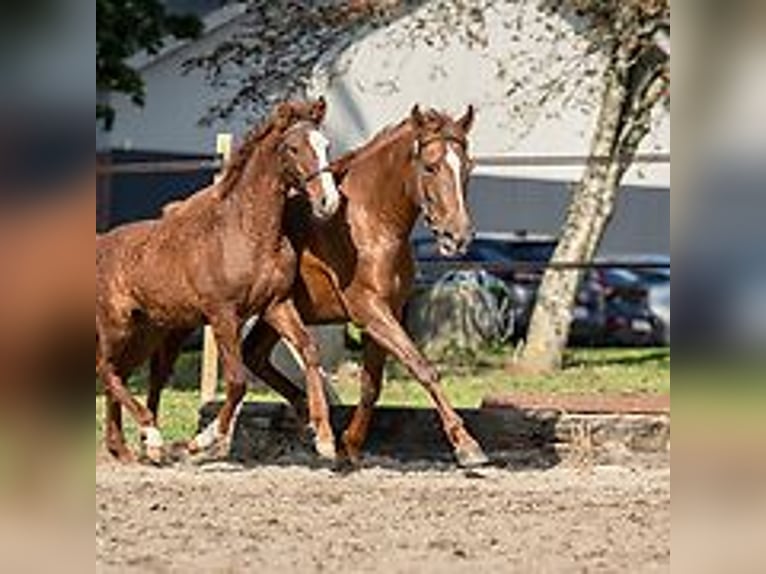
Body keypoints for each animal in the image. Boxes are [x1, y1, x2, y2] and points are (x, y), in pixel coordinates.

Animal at [94, 99, 340, 466]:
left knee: (122, 373)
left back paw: (126, 448)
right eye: (294, 148)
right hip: (117, 326)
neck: (246, 233)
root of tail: (99, 246)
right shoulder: (223, 314)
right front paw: (204, 440)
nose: (329, 202)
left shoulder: (276, 305)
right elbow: (237, 382)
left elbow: (309, 350)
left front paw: (324, 439)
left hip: (149, 333)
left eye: (326, 146)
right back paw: (152, 436)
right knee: (105, 369)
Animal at [135, 106, 488, 470]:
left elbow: (371, 385)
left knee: (254, 356)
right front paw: (466, 444)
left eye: (468, 167)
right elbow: (422, 368)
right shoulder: (370, 310)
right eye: (430, 167)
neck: (371, 222)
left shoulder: (386, 313)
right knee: (165, 371)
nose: (458, 237)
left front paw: (349, 445)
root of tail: (172, 212)